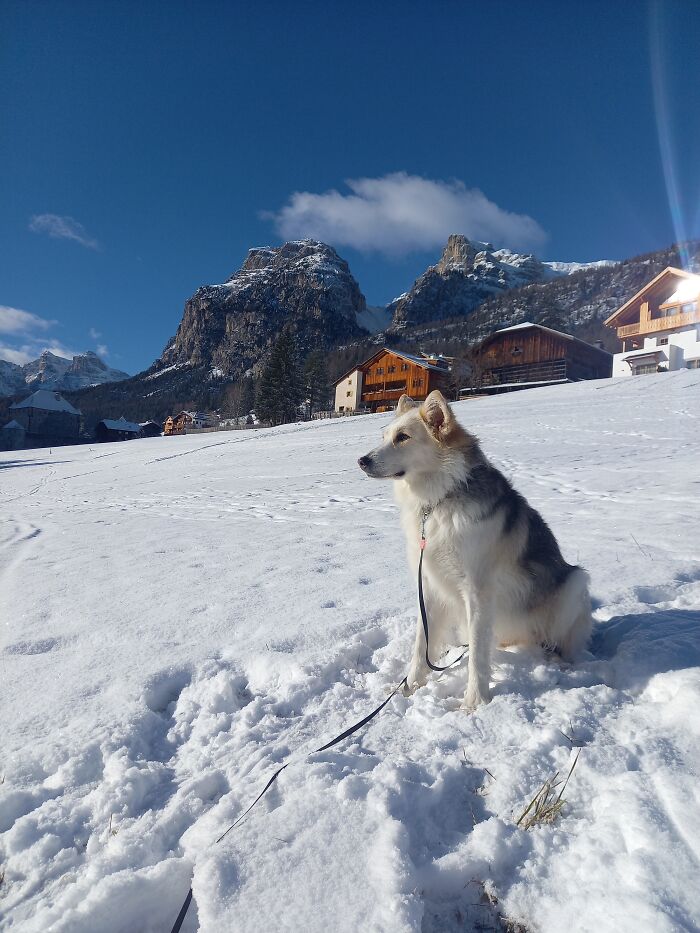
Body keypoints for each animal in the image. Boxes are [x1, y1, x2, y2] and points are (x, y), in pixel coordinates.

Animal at [358, 388, 592, 708]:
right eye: (384, 436)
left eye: (402, 437)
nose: (362, 460)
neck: (440, 500)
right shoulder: (428, 587)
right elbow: (421, 645)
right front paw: (409, 687)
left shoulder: (478, 591)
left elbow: (478, 657)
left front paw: (475, 702)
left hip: (575, 582)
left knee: (562, 641)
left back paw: (560, 663)